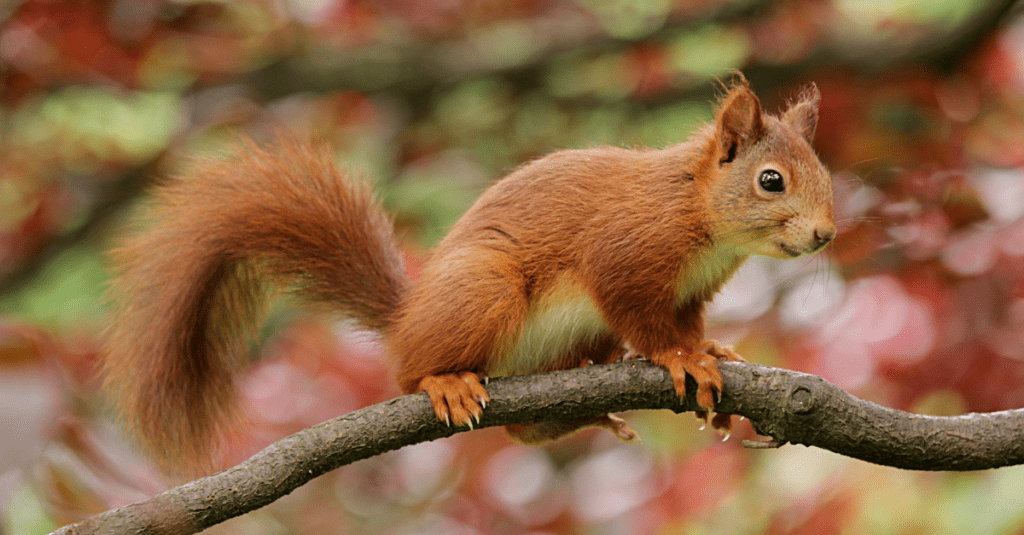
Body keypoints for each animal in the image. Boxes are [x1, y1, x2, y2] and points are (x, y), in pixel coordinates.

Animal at [102, 75, 835, 475]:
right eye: (771, 181)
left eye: (825, 174)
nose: (826, 233)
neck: (700, 213)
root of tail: (407, 318)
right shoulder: (625, 251)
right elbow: (642, 316)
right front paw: (682, 357)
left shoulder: (692, 289)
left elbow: (687, 320)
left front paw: (710, 348)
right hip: (483, 289)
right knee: (411, 370)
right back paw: (444, 380)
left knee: (524, 429)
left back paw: (590, 406)